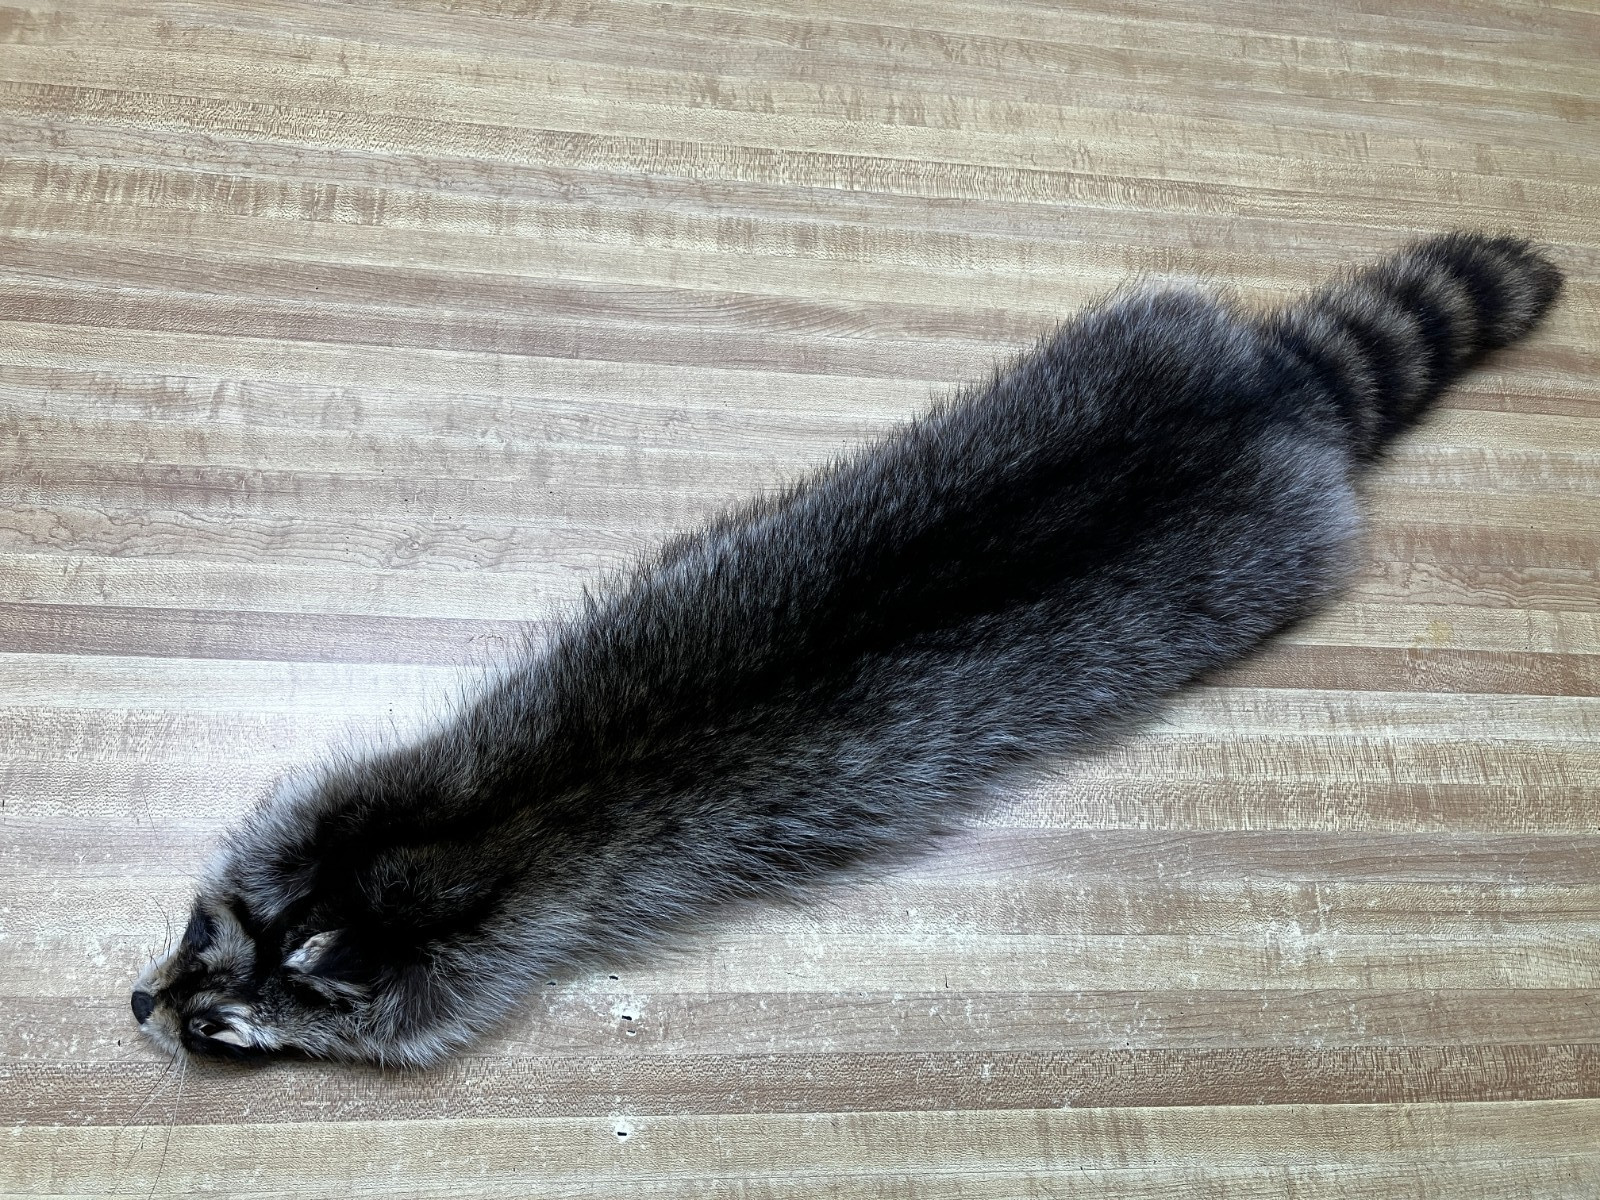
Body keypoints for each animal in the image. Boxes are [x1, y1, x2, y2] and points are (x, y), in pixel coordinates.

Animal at [131, 232, 1562, 1066]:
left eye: (227, 1026)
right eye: (201, 932)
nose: (145, 1011)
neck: (431, 853)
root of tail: (1273, 388)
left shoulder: (495, 938)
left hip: (1263, 563)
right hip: (1131, 339)